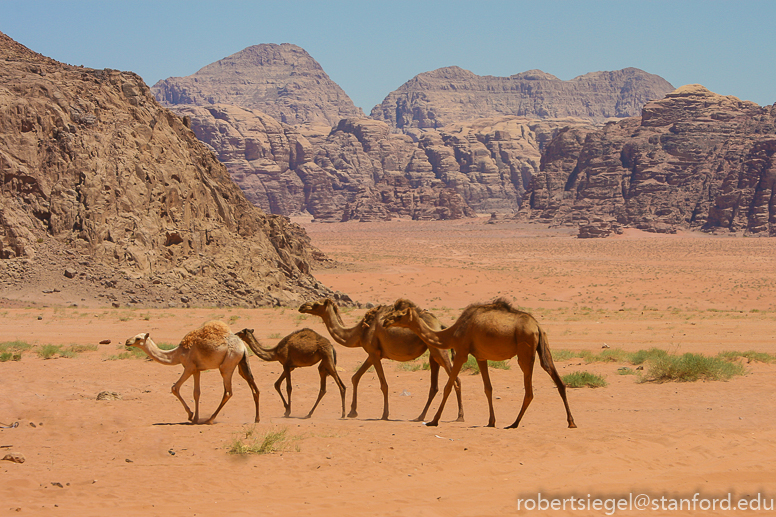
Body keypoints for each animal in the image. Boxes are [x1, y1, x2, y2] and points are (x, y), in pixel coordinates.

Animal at [124, 320, 260, 426]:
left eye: (138, 338)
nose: (127, 341)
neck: (178, 354)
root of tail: (243, 347)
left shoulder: (189, 367)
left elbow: (175, 388)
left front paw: (190, 415)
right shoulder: (197, 370)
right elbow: (196, 393)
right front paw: (195, 418)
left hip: (227, 365)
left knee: (228, 392)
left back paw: (210, 419)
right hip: (242, 363)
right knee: (252, 386)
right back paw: (257, 419)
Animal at [300, 296, 464, 422]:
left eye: (316, 304)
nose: (302, 306)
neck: (359, 332)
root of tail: (440, 324)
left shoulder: (373, 352)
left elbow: (383, 384)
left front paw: (385, 414)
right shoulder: (373, 354)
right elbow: (355, 377)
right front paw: (352, 412)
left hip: (439, 352)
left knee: (456, 380)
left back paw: (459, 416)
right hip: (432, 353)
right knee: (435, 386)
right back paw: (420, 416)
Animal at [382, 298, 576, 428]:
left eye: (399, 315)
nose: (385, 321)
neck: (453, 333)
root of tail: (537, 325)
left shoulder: (462, 351)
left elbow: (448, 385)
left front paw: (434, 421)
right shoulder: (481, 356)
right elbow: (488, 388)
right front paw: (491, 421)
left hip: (525, 351)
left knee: (529, 390)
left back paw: (514, 423)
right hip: (543, 348)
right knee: (557, 379)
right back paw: (571, 422)